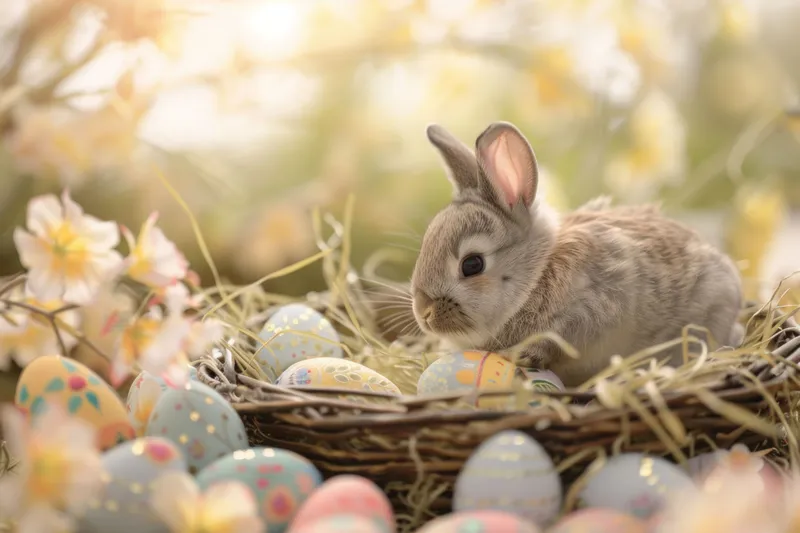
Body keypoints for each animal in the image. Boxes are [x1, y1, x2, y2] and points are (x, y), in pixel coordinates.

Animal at [410, 121, 744, 387]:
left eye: (472, 264)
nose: (424, 314)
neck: (535, 275)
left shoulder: (594, 308)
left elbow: (558, 340)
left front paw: (523, 356)